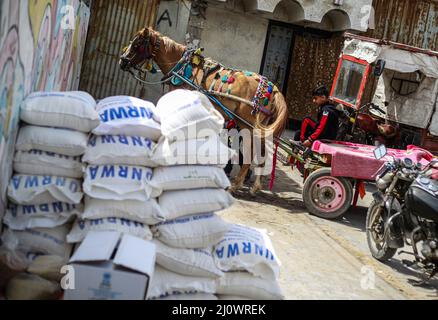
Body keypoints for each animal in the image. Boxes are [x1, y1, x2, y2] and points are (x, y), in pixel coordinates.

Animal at [120, 27, 290, 194]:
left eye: (137, 44)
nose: (122, 61)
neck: (184, 68)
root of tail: (273, 88)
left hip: (247, 124)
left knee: (251, 151)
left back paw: (236, 185)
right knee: (262, 151)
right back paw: (255, 186)